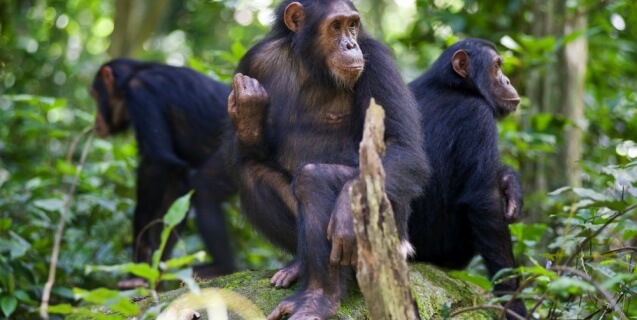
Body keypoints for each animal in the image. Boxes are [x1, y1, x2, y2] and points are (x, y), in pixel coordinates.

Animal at [90, 58, 237, 288]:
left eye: (96, 95)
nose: (95, 119)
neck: (130, 77)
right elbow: (175, 187)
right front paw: (153, 271)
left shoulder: (141, 94)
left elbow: (157, 163)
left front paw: (138, 267)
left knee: (204, 187)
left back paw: (222, 268)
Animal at [226, 0, 430, 318]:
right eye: (336, 26)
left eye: (352, 25)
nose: (350, 44)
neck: (311, 64)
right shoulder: (253, 63)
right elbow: (251, 154)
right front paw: (248, 110)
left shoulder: (378, 63)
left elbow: (403, 146)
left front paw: (346, 208)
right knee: (251, 172)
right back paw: (300, 268)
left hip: (392, 238)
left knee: (314, 179)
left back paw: (318, 300)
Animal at [408, 38, 528, 318]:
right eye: (496, 66)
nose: (507, 80)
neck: (454, 86)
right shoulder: (478, 117)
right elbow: (484, 202)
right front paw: (514, 303)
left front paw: (511, 184)